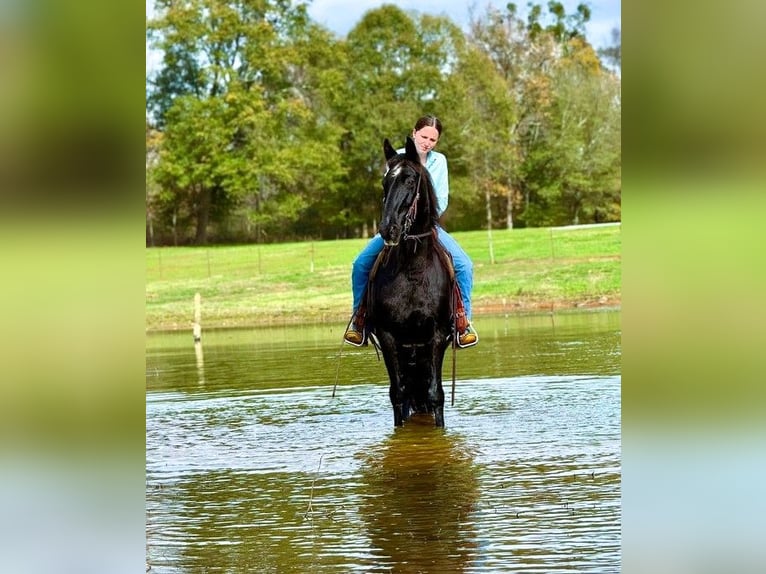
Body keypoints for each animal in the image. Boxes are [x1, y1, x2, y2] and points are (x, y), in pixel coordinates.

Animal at [368, 137, 456, 430]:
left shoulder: (438, 335)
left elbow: (435, 394)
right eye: (385, 182)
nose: (388, 229)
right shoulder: (388, 336)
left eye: (409, 180)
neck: (413, 271)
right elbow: (399, 395)